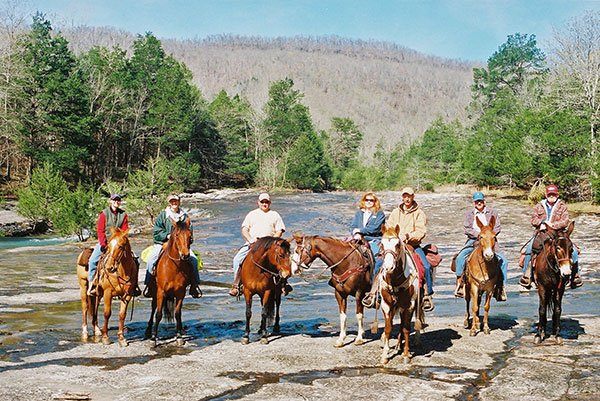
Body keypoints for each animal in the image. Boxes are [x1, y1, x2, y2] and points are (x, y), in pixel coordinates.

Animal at [144, 217, 193, 346]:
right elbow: (158, 314)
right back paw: (148, 330)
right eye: (177, 234)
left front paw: (179, 336)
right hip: (155, 292)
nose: (185, 255)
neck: (174, 267)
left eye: (190, 235)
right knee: (153, 307)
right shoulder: (161, 291)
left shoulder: (181, 292)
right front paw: (153, 338)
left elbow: (177, 313)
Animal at [380, 223, 422, 364]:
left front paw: (406, 354)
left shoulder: (409, 305)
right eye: (381, 244)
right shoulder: (387, 305)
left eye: (397, 244)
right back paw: (398, 344)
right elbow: (388, 328)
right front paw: (385, 355)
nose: (388, 267)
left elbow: (406, 328)